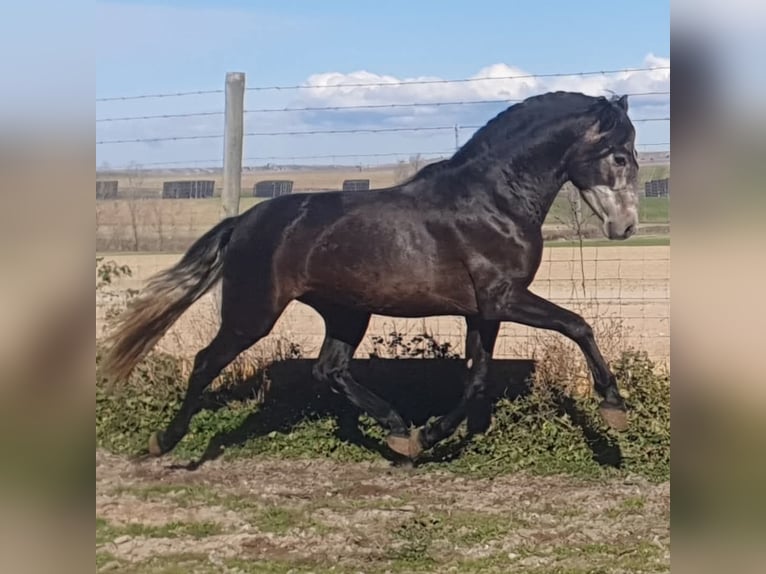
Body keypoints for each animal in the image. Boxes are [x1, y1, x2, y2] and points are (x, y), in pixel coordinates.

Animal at [101, 91, 640, 460]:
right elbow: (578, 326)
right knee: (205, 362)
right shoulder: (504, 297)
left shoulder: (484, 310)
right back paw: (165, 441)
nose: (626, 227)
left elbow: (477, 379)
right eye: (618, 155)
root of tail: (243, 222)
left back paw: (399, 431)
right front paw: (613, 409)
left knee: (330, 370)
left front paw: (429, 435)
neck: (492, 201)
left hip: (346, 312)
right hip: (252, 314)